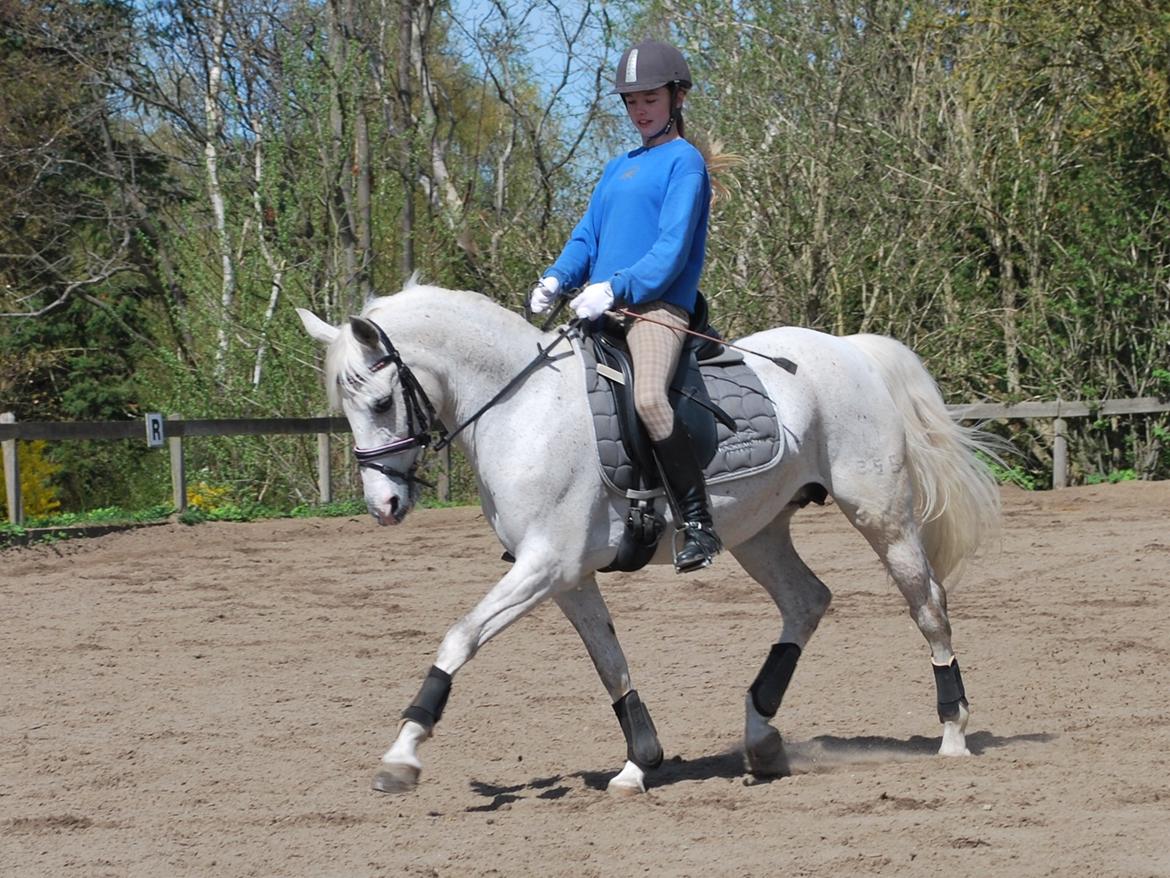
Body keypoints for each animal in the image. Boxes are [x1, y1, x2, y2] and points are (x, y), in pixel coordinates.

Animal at [297, 279, 1001, 796]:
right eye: (348, 406)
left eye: (381, 402)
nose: (384, 506)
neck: (522, 409)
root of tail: (851, 348)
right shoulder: (566, 575)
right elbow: (610, 662)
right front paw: (640, 762)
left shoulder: (544, 565)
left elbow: (460, 636)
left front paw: (402, 754)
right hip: (758, 531)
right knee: (808, 600)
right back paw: (761, 737)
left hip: (879, 512)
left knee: (927, 605)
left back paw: (953, 733)